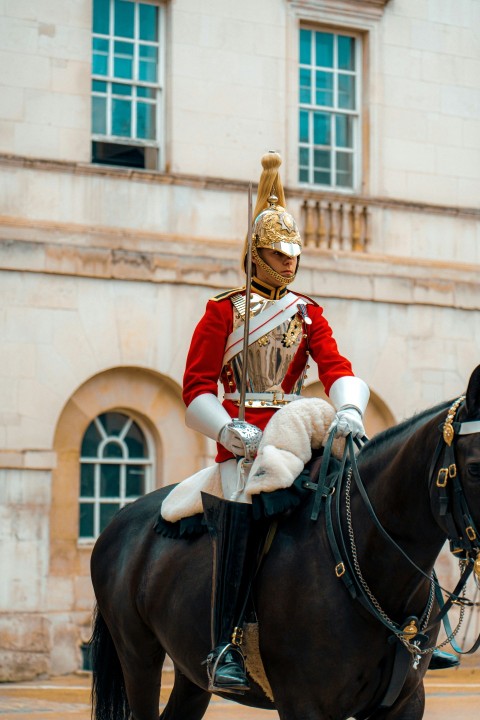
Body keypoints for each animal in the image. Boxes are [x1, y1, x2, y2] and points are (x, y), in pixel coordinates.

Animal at [89, 366, 480, 720]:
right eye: (474, 467)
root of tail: (120, 517)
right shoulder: (304, 704)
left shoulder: (406, 704)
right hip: (138, 657)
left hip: (190, 670)